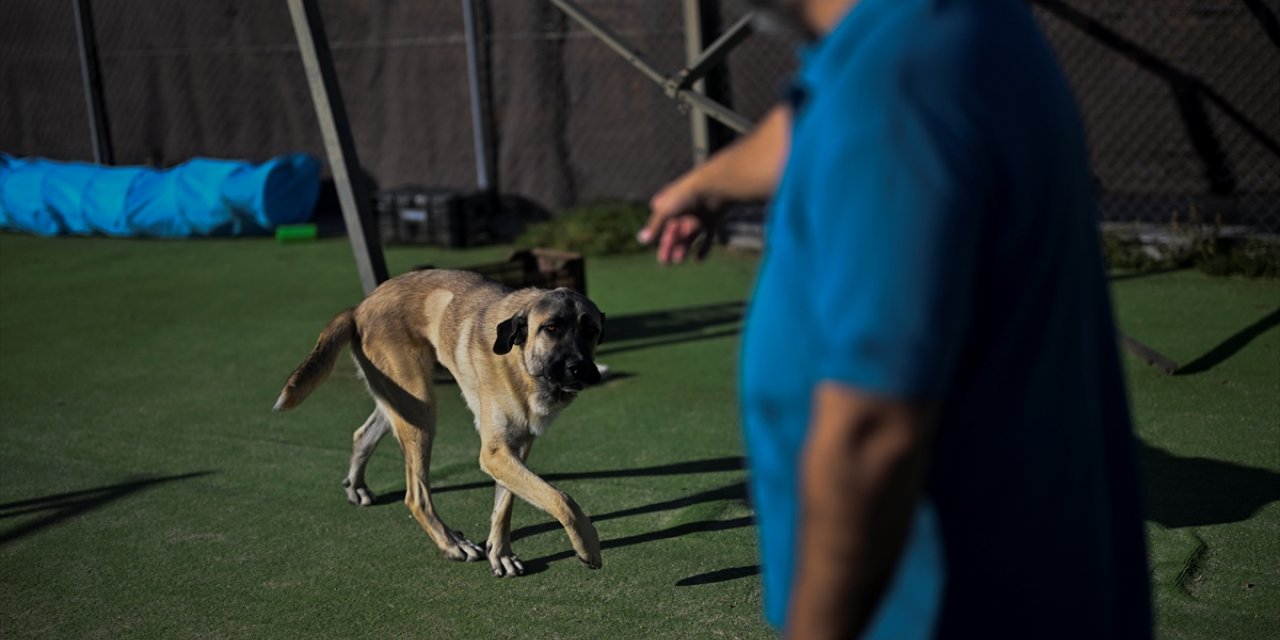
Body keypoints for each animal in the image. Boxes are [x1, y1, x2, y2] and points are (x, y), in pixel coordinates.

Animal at [275, 267, 604, 578]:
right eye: (551, 328)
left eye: (591, 330)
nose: (579, 368)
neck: (522, 362)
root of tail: (361, 306)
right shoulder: (495, 454)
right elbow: (561, 498)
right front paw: (587, 544)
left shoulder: (515, 448)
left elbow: (505, 505)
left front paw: (501, 554)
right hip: (421, 410)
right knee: (416, 497)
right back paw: (451, 544)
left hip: (401, 401)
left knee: (363, 433)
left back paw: (356, 485)